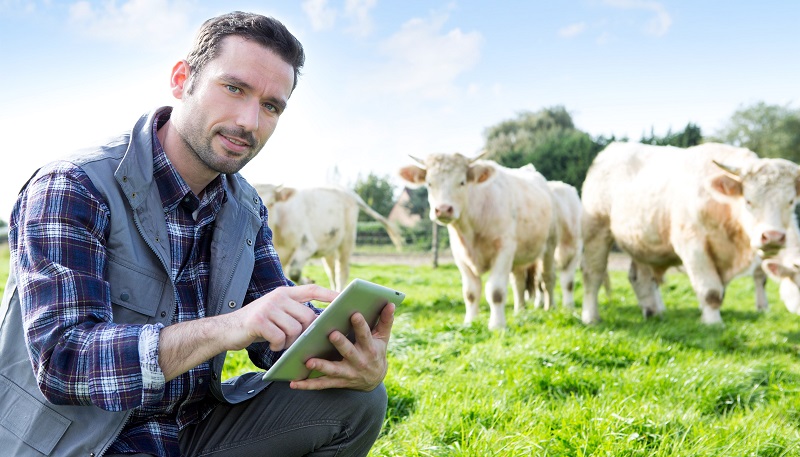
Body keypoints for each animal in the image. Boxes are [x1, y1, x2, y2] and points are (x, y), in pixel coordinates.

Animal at [256, 183, 406, 290]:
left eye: (272, 202)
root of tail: (347, 191)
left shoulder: (307, 244)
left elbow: (294, 273)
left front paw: (307, 282)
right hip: (329, 245)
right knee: (331, 271)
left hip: (347, 239)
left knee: (342, 271)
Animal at [398, 152, 556, 328]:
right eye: (429, 183)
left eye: (462, 182)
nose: (443, 209)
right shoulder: (460, 256)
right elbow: (470, 293)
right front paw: (470, 322)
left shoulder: (504, 249)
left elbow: (496, 291)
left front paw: (497, 325)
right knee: (519, 283)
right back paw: (520, 311)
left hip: (549, 245)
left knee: (547, 278)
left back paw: (550, 308)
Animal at [580, 142, 800, 324]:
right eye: (748, 201)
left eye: (790, 201)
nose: (772, 236)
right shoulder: (693, 246)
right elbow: (711, 291)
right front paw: (713, 324)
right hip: (596, 231)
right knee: (593, 274)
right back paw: (591, 317)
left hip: (641, 242)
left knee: (639, 278)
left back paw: (653, 313)